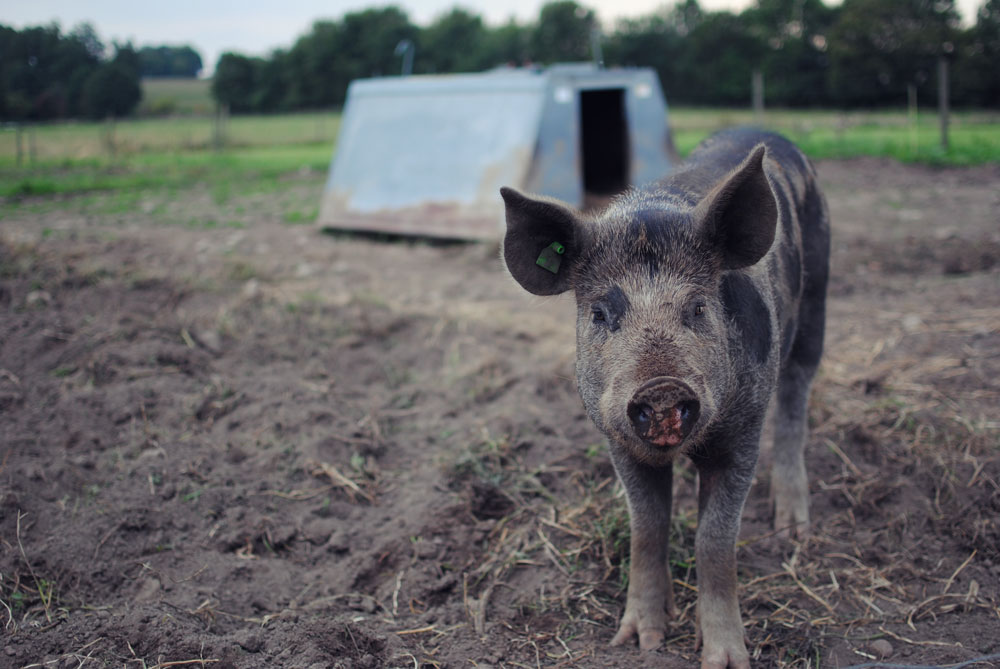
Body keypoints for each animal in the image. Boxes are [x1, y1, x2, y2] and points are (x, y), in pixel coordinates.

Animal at [498, 126, 828, 668]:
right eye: (600, 313)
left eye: (697, 308)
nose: (663, 388)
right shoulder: (619, 440)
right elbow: (647, 527)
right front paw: (640, 641)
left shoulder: (742, 435)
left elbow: (715, 540)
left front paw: (724, 660)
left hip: (817, 298)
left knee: (796, 397)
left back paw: (793, 530)